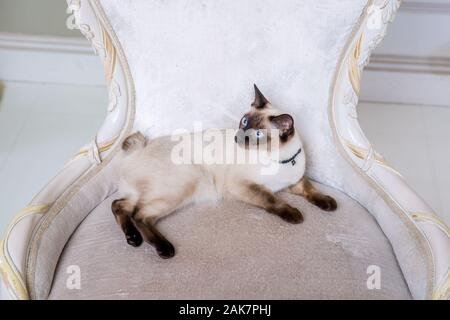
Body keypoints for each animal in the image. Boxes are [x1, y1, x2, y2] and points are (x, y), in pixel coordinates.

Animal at [112, 84, 338, 258]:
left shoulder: (295, 180)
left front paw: (328, 203)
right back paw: (164, 249)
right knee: (140, 215)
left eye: (257, 134)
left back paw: (133, 239)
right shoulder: (245, 185)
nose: (239, 137)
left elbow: (312, 190)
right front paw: (293, 214)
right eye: (244, 122)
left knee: (120, 205)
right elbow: (272, 200)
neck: (281, 159)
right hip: (186, 182)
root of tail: (139, 148)